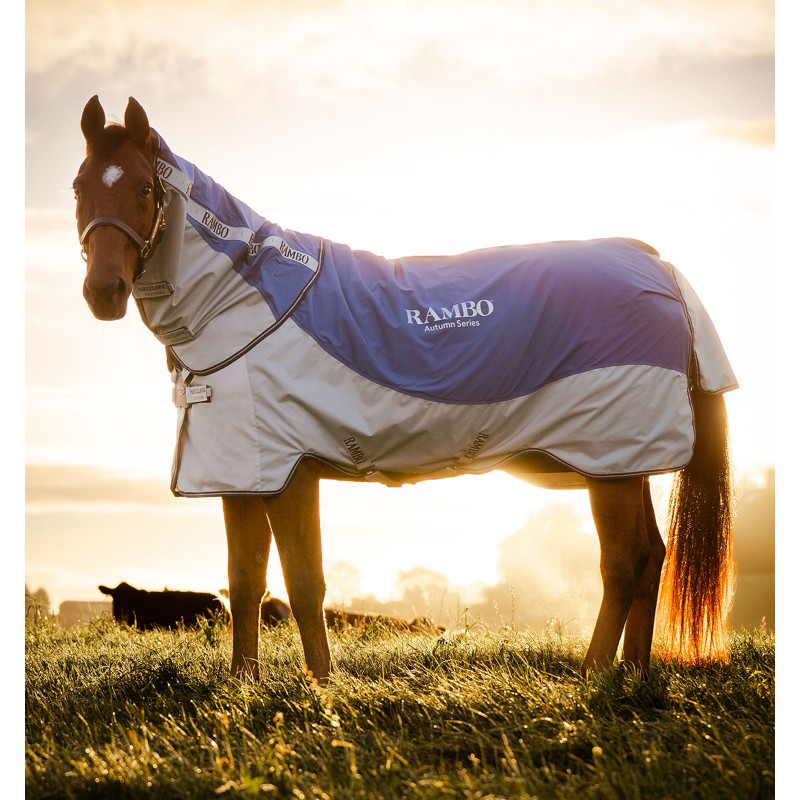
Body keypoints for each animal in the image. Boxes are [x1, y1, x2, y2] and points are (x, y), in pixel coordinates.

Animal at [73, 95, 736, 683]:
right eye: (80, 188)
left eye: (143, 189)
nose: (103, 292)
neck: (247, 305)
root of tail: (657, 264)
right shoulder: (242, 473)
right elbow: (245, 582)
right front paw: (244, 685)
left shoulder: (291, 471)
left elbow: (304, 581)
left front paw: (323, 686)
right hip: (625, 465)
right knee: (651, 559)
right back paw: (634, 675)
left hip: (611, 460)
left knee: (624, 563)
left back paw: (594, 677)